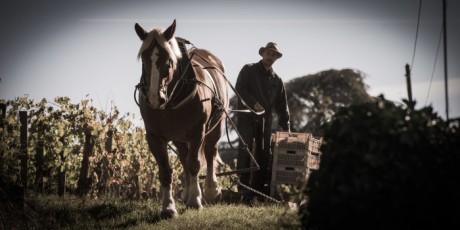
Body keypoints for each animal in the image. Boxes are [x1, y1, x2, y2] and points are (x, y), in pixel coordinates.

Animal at [134, 19, 229, 217]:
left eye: (169, 62)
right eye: (144, 60)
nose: (155, 98)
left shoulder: (197, 130)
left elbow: (194, 164)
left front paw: (195, 200)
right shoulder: (154, 136)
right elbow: (166, 170)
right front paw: (169, 207)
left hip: (216, 125)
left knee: (210, 152)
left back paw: (211, 190)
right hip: (179, 137)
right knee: (184, 158)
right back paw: (186, 194)